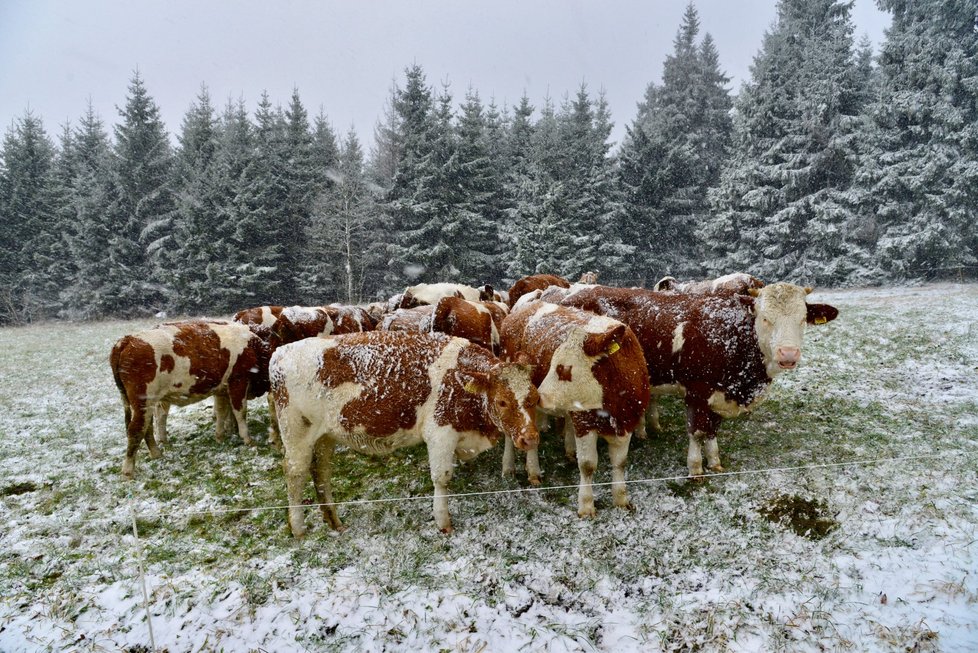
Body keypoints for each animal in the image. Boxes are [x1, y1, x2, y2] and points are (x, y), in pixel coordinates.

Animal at [109, 320, 270, 474]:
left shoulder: (221, 389)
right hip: (143, 400)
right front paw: (248, 439)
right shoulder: (238, 381)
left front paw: (219, 437)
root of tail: (127, 340)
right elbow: (240, 412)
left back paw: (156, 453)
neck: (254, 349)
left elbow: (221, 412)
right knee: (136, 429)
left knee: (146, 427)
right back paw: (128, 470)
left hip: (146, 404)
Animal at [270, 332, 536, 536]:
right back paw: (298, 528)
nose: (530, 437)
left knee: (321, 471)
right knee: (295, 473)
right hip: (296, 434)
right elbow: (442, 478)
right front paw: (443, 522)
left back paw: (334, 521)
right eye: (502, 402)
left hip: (324, 436)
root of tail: (280, 352)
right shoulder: (440, 433)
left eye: (532, 398)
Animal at [504, 302, 648, 516]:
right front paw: (586, 506)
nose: (540, 397)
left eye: (563, 368)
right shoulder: (584, 422)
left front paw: (621, 500)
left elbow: (620, 463)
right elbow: (587, 465)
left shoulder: (627, 422)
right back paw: (519, 468)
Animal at [540, 282, 840, 476]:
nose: (788, 354)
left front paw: (715, 461)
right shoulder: (697, 389)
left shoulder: (719, 393)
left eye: (803, 318)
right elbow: (697, 431)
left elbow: (711, 430)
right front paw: (696, 468)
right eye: (765, 318)